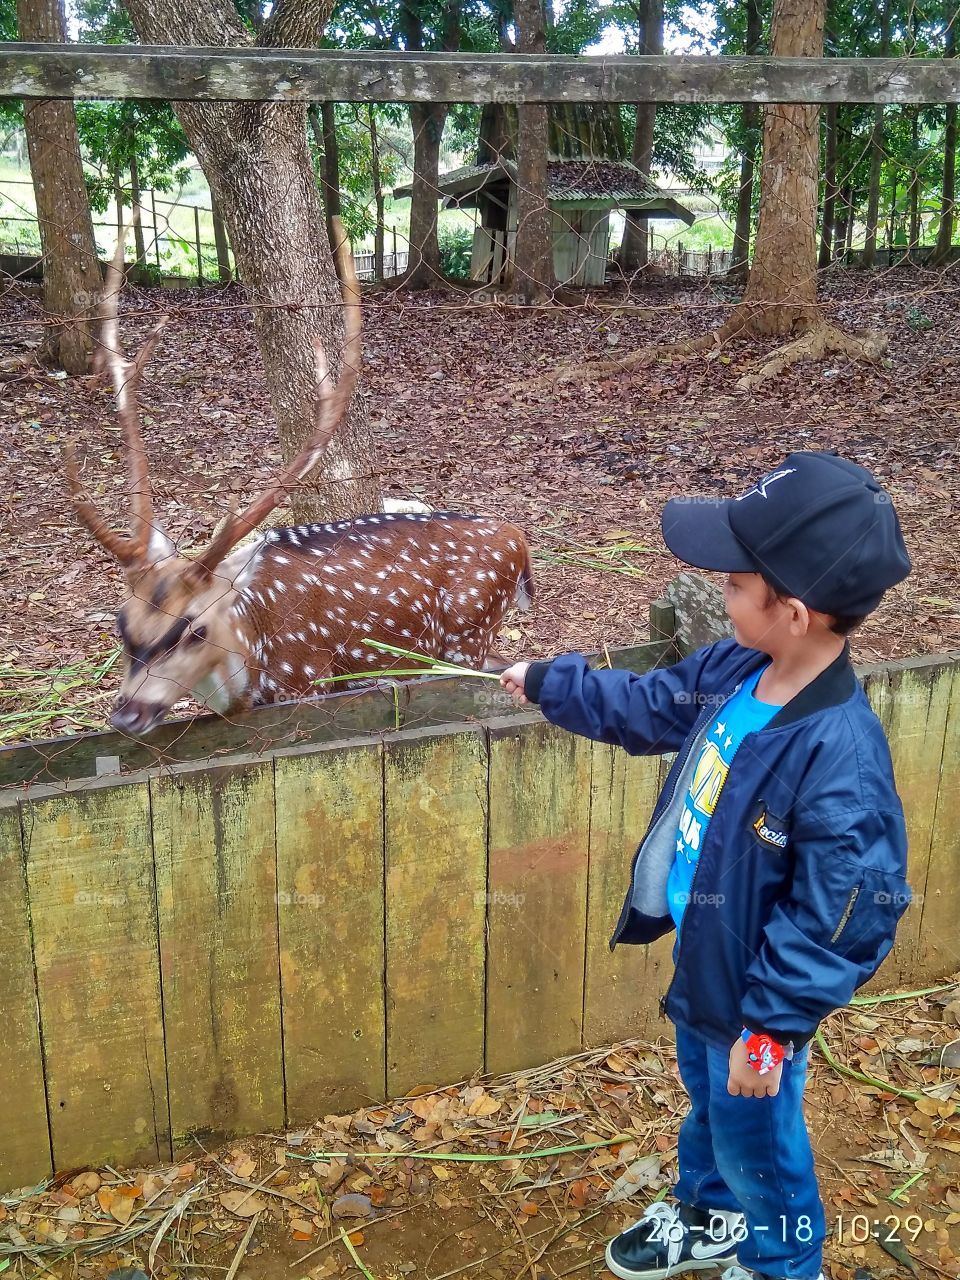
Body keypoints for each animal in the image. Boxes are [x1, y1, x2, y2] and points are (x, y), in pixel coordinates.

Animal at [67, 219, 533, 737]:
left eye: (193, 628)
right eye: (120, 623)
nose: (128, 714)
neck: (252, 662)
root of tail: (520, 542)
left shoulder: (307, 677)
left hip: (466, 633)